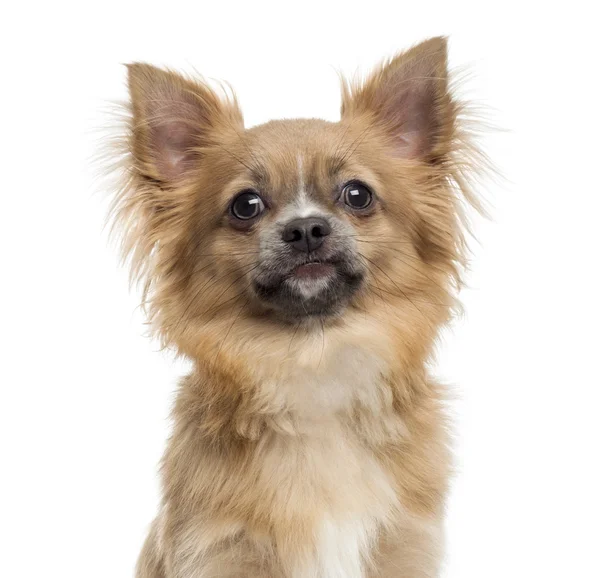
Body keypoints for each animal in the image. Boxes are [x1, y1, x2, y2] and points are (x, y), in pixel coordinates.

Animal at [108, 36, 482, 576]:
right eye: (246, 205)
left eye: (357, 195)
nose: (306, 228)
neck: (313, 361)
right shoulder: (219, 548)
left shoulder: (401, 545)